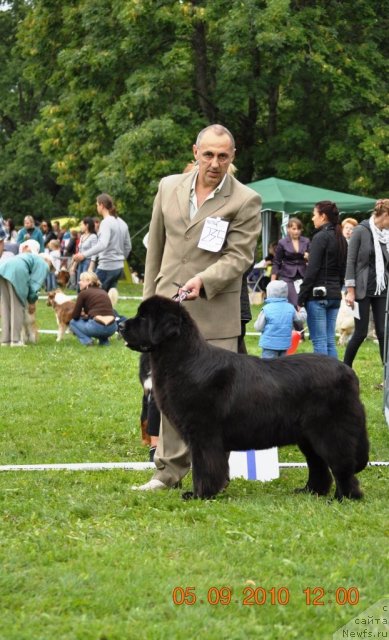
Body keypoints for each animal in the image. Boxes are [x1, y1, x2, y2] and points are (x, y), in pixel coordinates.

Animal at [119, 296, 368, 500]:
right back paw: (311, 491)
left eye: (143, 317)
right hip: (307, 435)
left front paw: (200, 494)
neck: (184, 360)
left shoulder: (204, 434)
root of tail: (349, 372)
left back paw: (345, 497)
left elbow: (204, 466)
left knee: (341, 464)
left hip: (330, 430)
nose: (120, 325)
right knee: (318, 465)